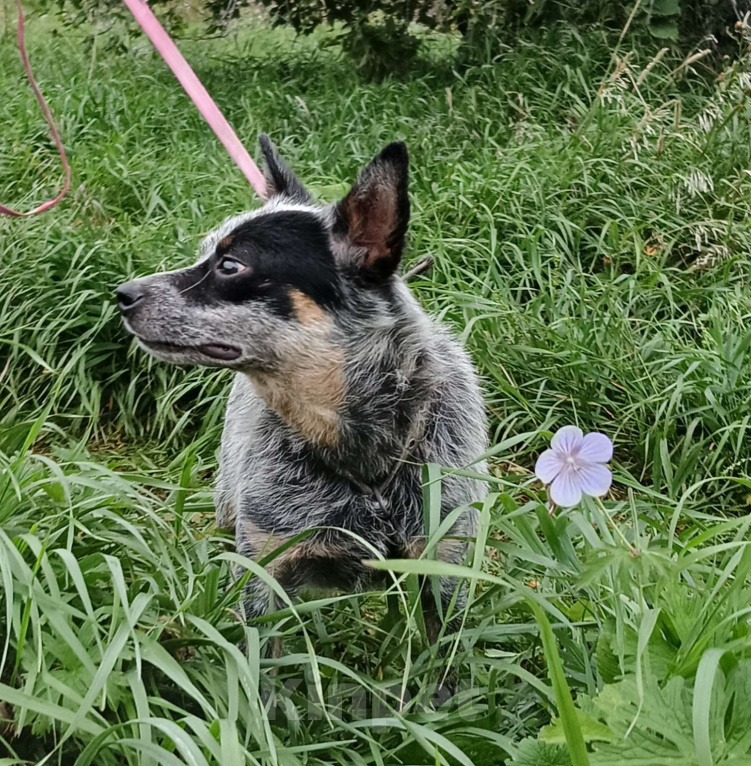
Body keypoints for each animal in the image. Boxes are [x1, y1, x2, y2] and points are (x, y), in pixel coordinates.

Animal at [112, 136, 488, 640]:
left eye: (229, 264)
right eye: (203, 251)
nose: (122, 294)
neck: (364, 465)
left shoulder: (443, 573)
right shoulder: (262, 572)